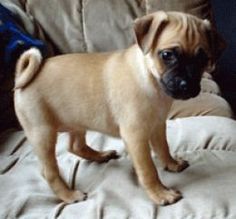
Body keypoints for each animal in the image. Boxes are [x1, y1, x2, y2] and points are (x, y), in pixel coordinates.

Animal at [13, 10, 218, 205]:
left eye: (203, 59)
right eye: (167, 55)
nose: (186, 84)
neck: (150, 77)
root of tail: (23, 76)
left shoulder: (158, 125)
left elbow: (163, 148)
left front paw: (171, 164)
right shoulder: (136, 137)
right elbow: (148, 170)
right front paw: (160, 193)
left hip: (76, 122)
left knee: (76, 146)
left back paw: (101, 155)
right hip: (42, 133)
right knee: (49, 171)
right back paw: (69, 195)